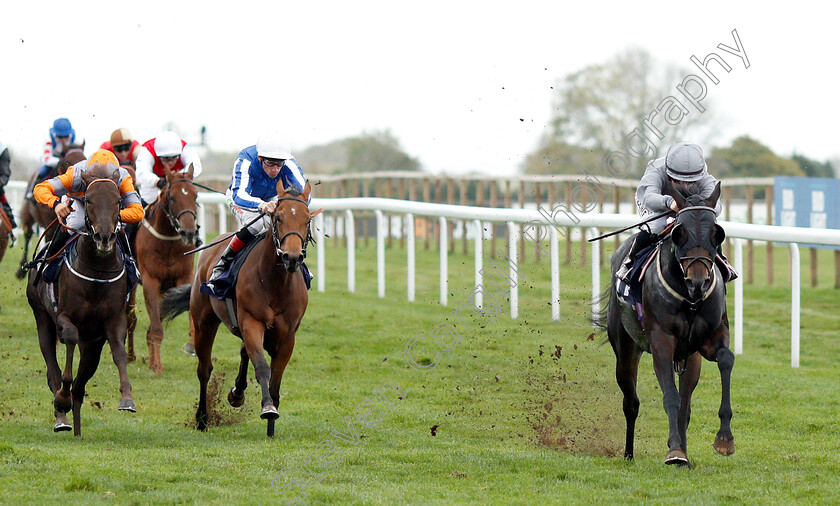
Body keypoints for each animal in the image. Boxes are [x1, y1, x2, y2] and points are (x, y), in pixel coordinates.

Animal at [16, 142, 86, 278]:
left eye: (84, 157)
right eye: (68, 160)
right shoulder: (48, 223)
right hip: (27, 214)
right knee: (28, 234)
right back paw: (21, 270)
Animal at [26, 164, 136, 436]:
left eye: (118, 201)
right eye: (88, 200)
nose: (105, 237)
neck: (97, 271)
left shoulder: (112, 321)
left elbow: (119, 353)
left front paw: (127, 398)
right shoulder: (64, 317)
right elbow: (69, 340)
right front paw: (62, 397)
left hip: (93, 344)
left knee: (82, 380)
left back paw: (75, 423)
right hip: (41, 317)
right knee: (52, 370)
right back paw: (62, 416)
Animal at [134, 164, 201, 374]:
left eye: (195, 195)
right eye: (172, 197)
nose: (189, 232)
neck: (168, 243)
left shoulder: (184, 278)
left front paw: (191, 345)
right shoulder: (150, 281)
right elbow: (156, 328)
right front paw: (156, 366)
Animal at [161, 180, 312, 436]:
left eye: (307, 219)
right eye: (278, 217)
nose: (292, 257)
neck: (276, 283)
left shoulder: (287, 336)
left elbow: (275, 381)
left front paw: (271, 426)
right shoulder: (251, 322)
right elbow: (262, 367)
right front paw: (267, 408)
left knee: (243, 353)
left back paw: (236, 394)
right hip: (204, 322)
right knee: (204, 369)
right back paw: (202, 418)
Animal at [604, 182, 736, 466]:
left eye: (716, 233)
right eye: (679, 233)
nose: (698, 282)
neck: (690, 300)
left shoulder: (709, 338)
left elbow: (726, 359)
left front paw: (724, 439)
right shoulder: (661, 342)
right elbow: (670, 397)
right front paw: (675, 451)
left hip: (691, 359)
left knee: (686, 403)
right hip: (626, 348)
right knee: (631, 402)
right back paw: (629, 454)